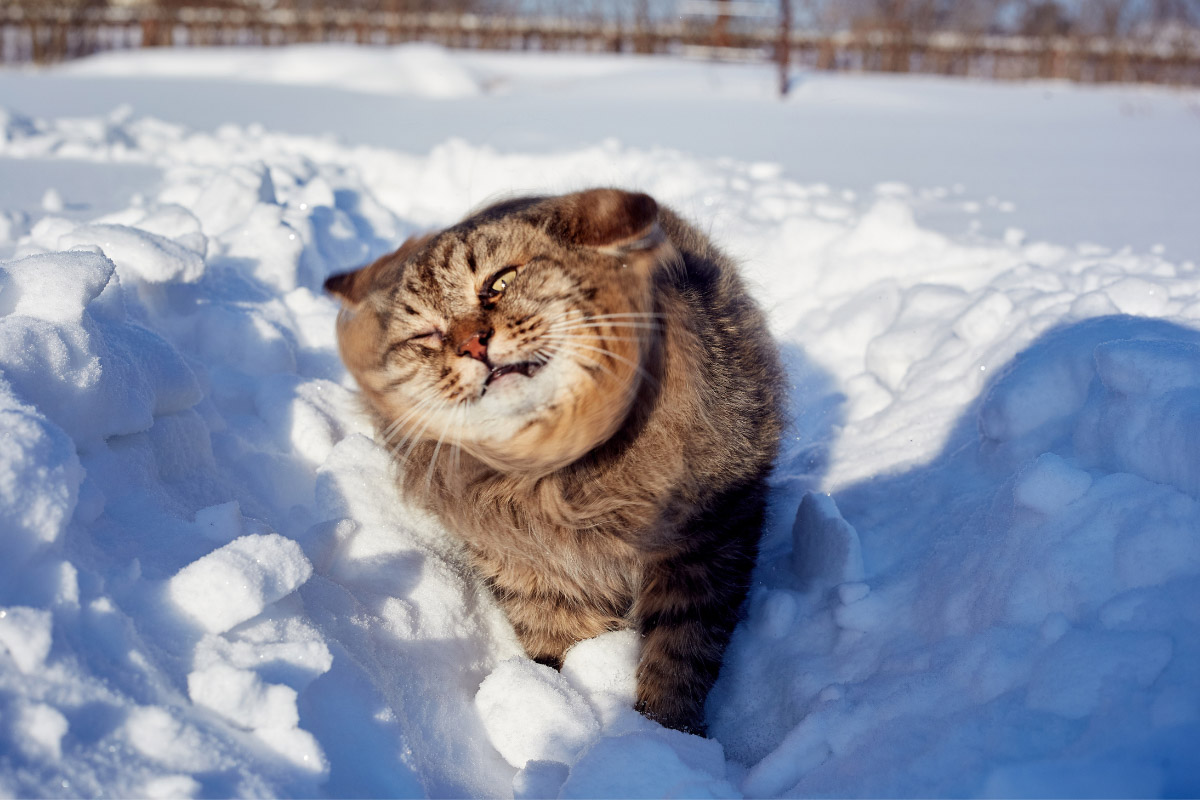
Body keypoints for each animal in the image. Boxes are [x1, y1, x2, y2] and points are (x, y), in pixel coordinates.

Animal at [326, 189, 787, 738]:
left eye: (500, 284)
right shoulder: (534, 569)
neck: (562, 478)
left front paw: (668, 737)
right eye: (427, 336)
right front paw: (568, 713)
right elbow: (563, 646)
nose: (472, 345)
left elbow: (680, 653)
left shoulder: (708, 537)